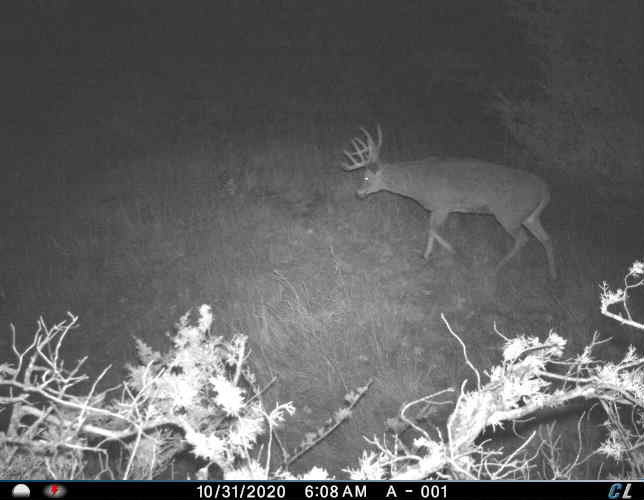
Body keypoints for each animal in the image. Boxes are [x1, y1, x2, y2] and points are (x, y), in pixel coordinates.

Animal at [341, 126, 557, 279]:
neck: (418, 186)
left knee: (523, 239)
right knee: (546, 239)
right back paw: (552, 275)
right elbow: (430, 229)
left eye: (366, 177)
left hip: (508, 215)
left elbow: (434, 229)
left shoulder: (443, 205)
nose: (358, 193)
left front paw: (455, 252)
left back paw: (498, 266)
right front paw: (425, 256)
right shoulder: (435, 208)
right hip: (529, 216)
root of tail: (545, 190)